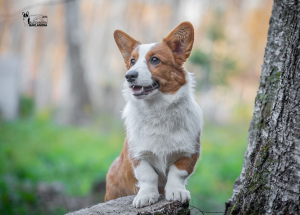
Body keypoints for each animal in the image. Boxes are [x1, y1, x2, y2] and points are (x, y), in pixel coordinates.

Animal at [104, 21, 203, 208]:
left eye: (155, 59)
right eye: (132, 61)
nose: (129, 76)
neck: (157, 109)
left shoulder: (189, 152)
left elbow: (177, 173)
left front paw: (176, 191)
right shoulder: (138, 154)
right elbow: (147, 175)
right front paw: (146, 195)